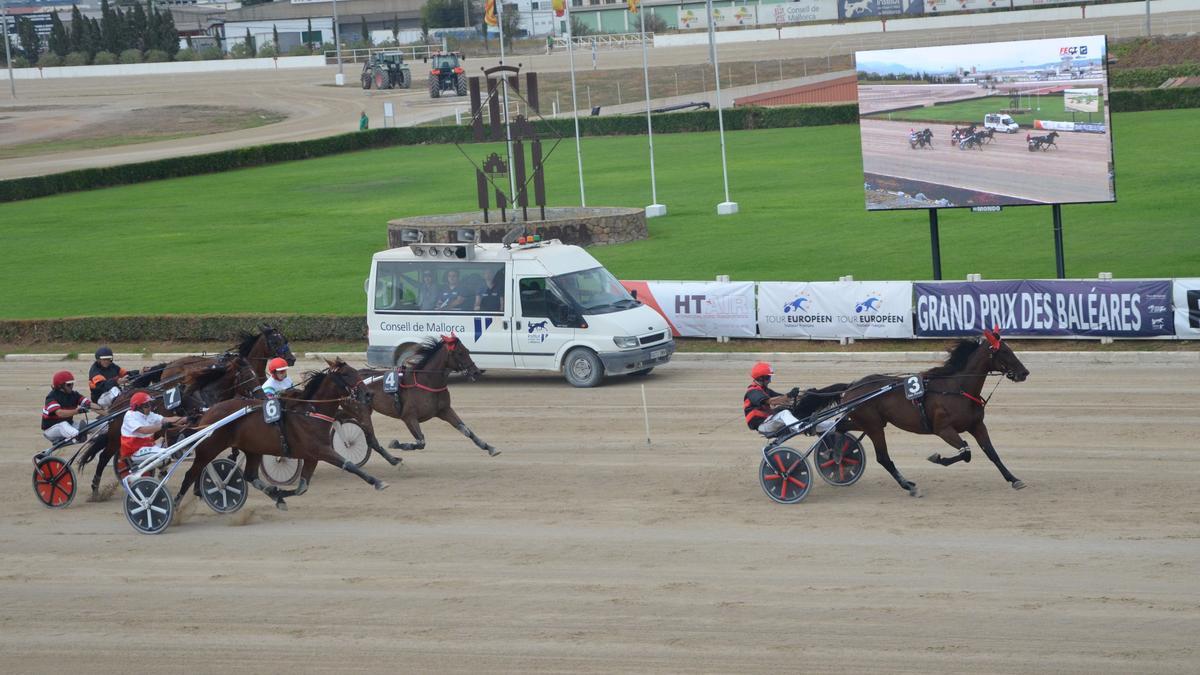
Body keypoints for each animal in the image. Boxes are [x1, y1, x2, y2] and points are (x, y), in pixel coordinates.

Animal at [175, 357, 384, 509]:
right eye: (347, 374)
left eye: (356, 371)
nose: (368, 394)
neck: (310, 412)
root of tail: (207, 412)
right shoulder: (320, 450)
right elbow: (349, 465)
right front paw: (377, 482)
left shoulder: (312, 456)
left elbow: (302, 488)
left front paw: (280, 494)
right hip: (208, 448)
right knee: (191, 474)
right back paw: (177, 505)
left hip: (253, 449)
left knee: (249, 476)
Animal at [360, 333, 501, 456]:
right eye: (460, 353)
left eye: (467, 350)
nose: (476, 372)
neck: (427, 382)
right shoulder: (408, 416)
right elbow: (421, 442)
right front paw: (395, 443)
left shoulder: (444, 410)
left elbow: (466, 430)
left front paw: (489, 447)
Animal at [801, 329, 1027, 497]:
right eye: (1004, 352)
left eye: (1010, 349)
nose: (1024, 372)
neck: (956, 388)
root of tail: (851, 386)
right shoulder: (943, 429)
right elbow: (966, 452)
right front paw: (937, 458)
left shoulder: (977, 425)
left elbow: (991, 453)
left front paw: (1014, 479)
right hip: (873, 426)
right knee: (883, 458)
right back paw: (909, 486)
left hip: (868, 422)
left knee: (840, 426)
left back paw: (836, 452)